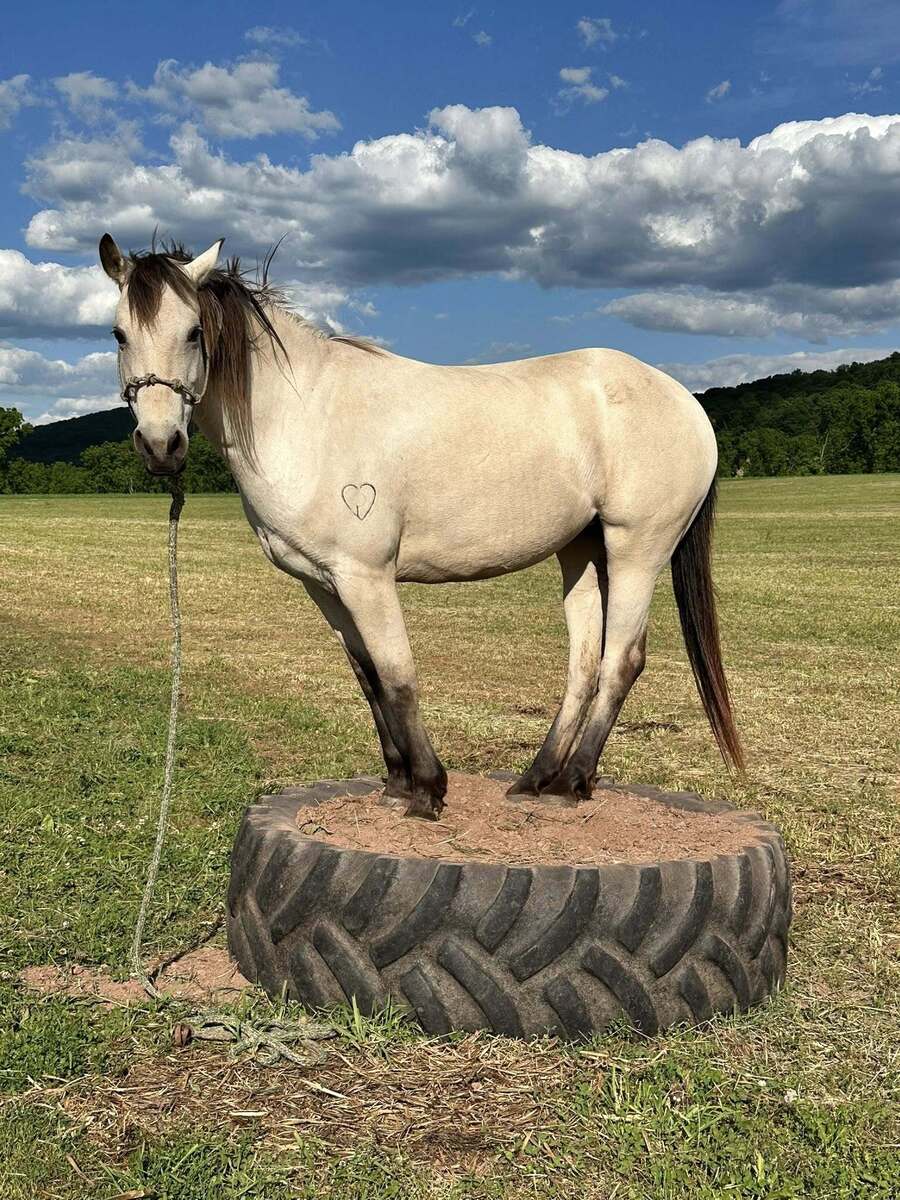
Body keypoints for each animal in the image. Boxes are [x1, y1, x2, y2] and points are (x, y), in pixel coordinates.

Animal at [98, 234, 744, 820]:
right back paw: (536, 779)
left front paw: (428, 790)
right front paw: (397, 783)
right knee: (583, 662)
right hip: (581, 550)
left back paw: (571, 783)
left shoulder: (366, 576)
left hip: (637, 548)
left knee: (621, 660)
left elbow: (398, 674)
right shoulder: (323, 583)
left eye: (193, 332)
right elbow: (367, 676)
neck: (305, 416)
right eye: (118, 334)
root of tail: (684, 400)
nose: (160, 446)